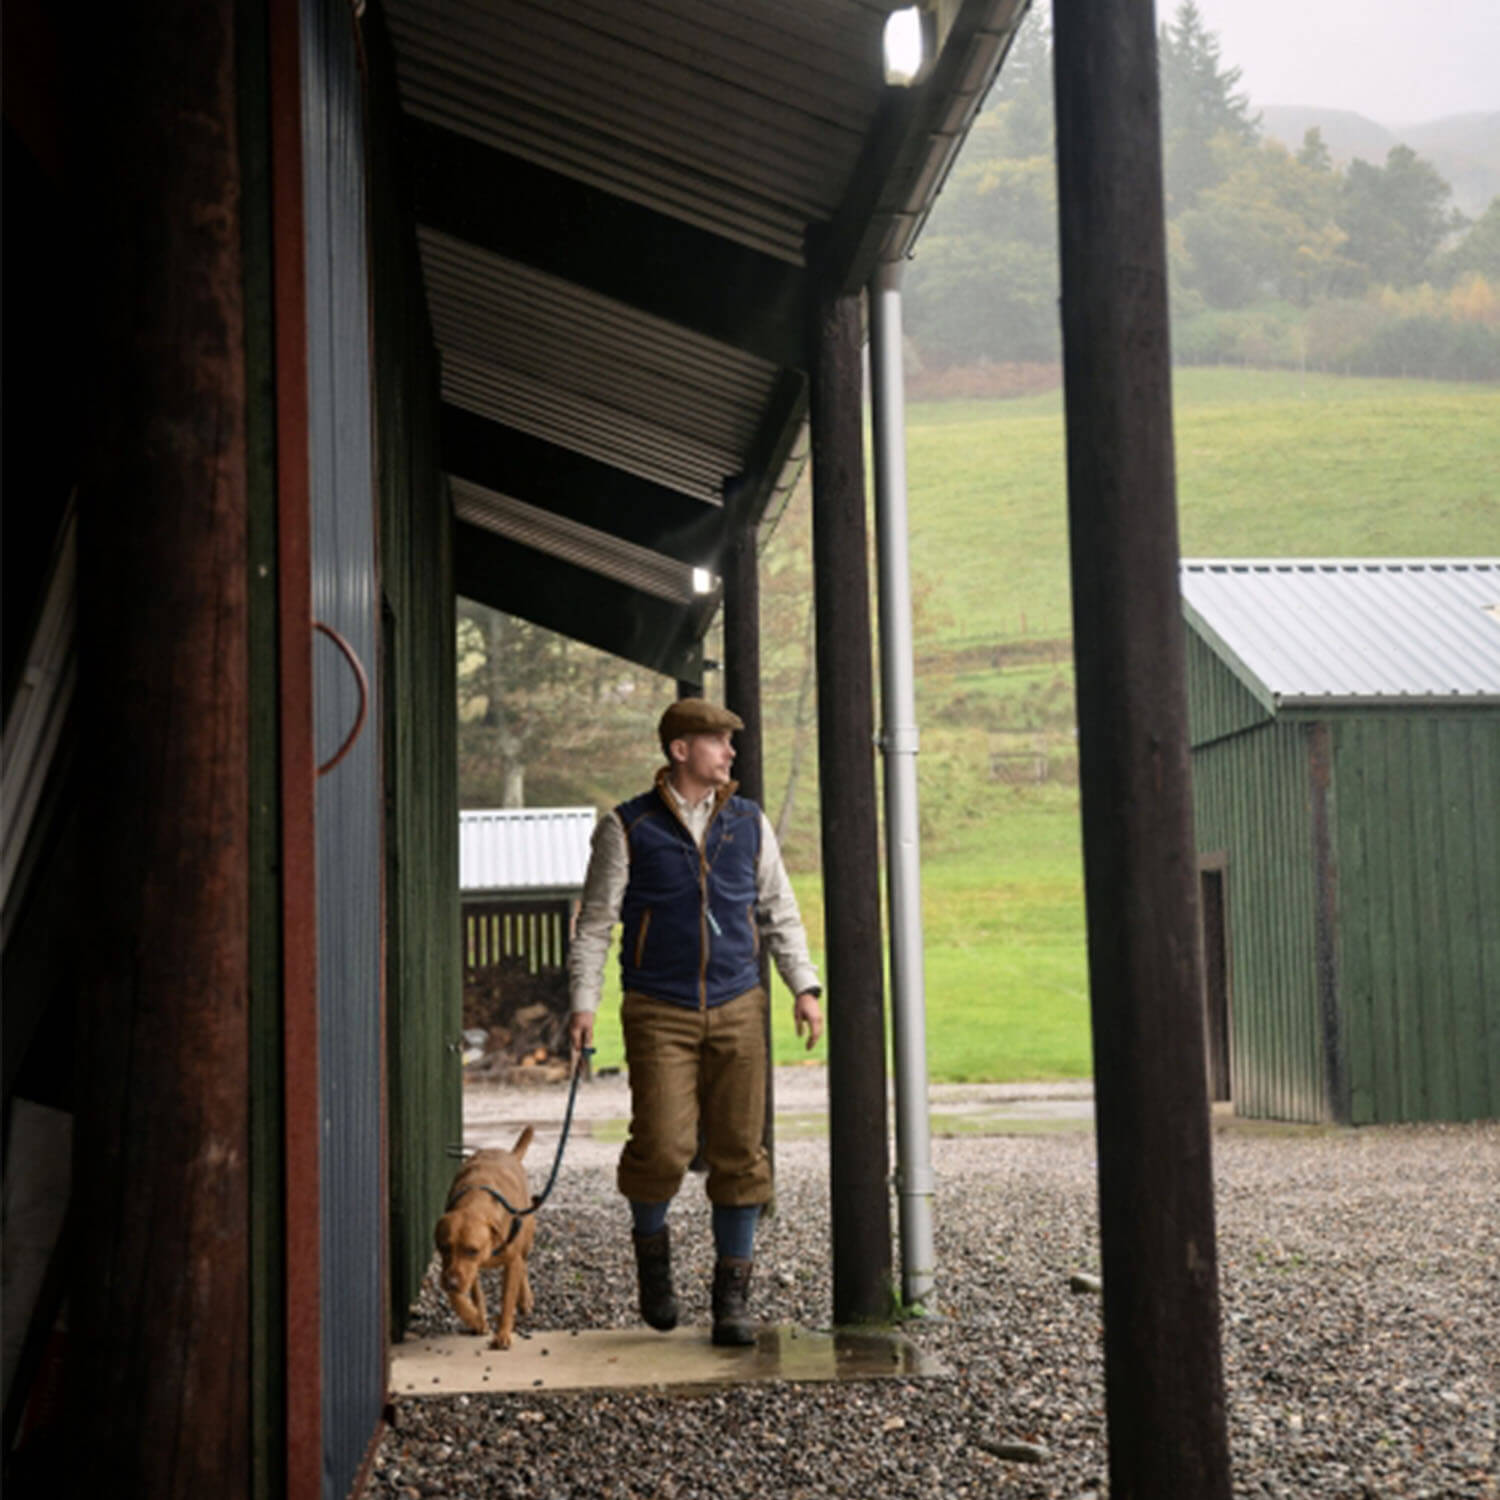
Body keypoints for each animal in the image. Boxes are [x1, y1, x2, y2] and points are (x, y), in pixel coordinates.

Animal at [438, 1128, 537, 1356]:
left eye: (472, 1250)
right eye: (445, 1247)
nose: (451, 1282)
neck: (475, 1201)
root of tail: (511, 1155)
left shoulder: (510, 1261)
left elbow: (507, 1300)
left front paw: (503, 1334)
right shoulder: (458, 1270)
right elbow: (461, 1296)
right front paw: (475, 1318)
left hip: (527, 1239)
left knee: (524, 1265)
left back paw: (525, 1297)